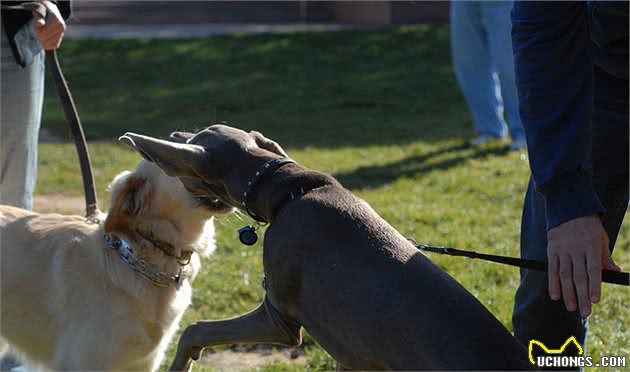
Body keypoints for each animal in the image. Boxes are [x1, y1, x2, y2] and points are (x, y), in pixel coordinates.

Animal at [121, 125, 536, 370]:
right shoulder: (354, 354)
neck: (285, 189)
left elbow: (195, 329)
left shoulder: (279, 319)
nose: (174, 131)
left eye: (196, 136)